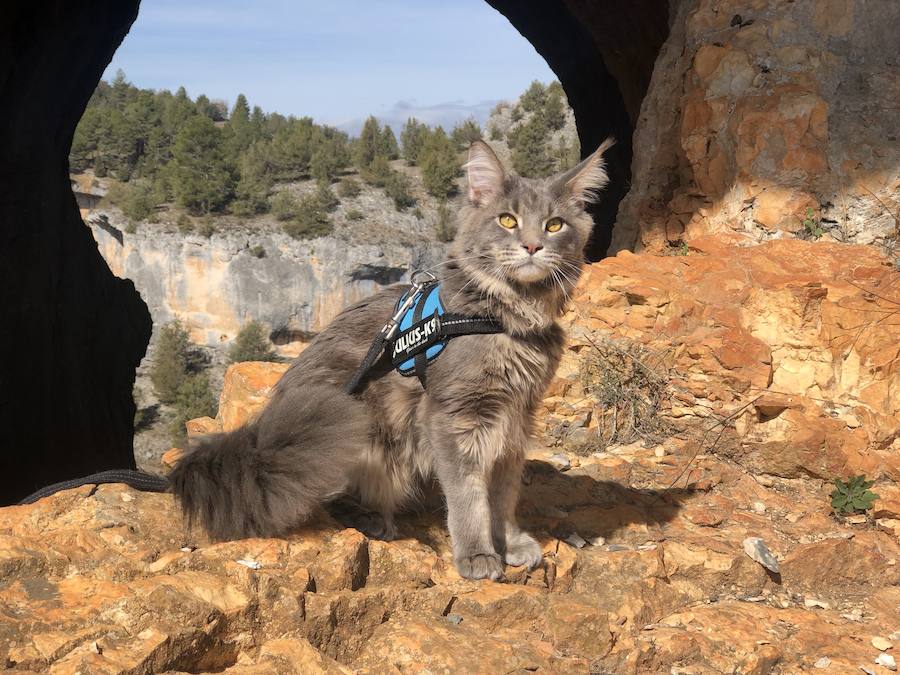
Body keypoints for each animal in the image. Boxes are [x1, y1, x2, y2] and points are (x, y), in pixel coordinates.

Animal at [168, 137, 612, 580]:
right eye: (507, 220)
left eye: (554, 225)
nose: (533, 246)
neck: (507, 320)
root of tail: (262, 452)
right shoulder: (454, 414)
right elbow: (469, 495)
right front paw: (477, 554)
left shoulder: (515, 416)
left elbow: (503, 493)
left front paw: (510, 543)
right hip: (353, 424)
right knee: (324, 498)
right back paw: (373, 519)